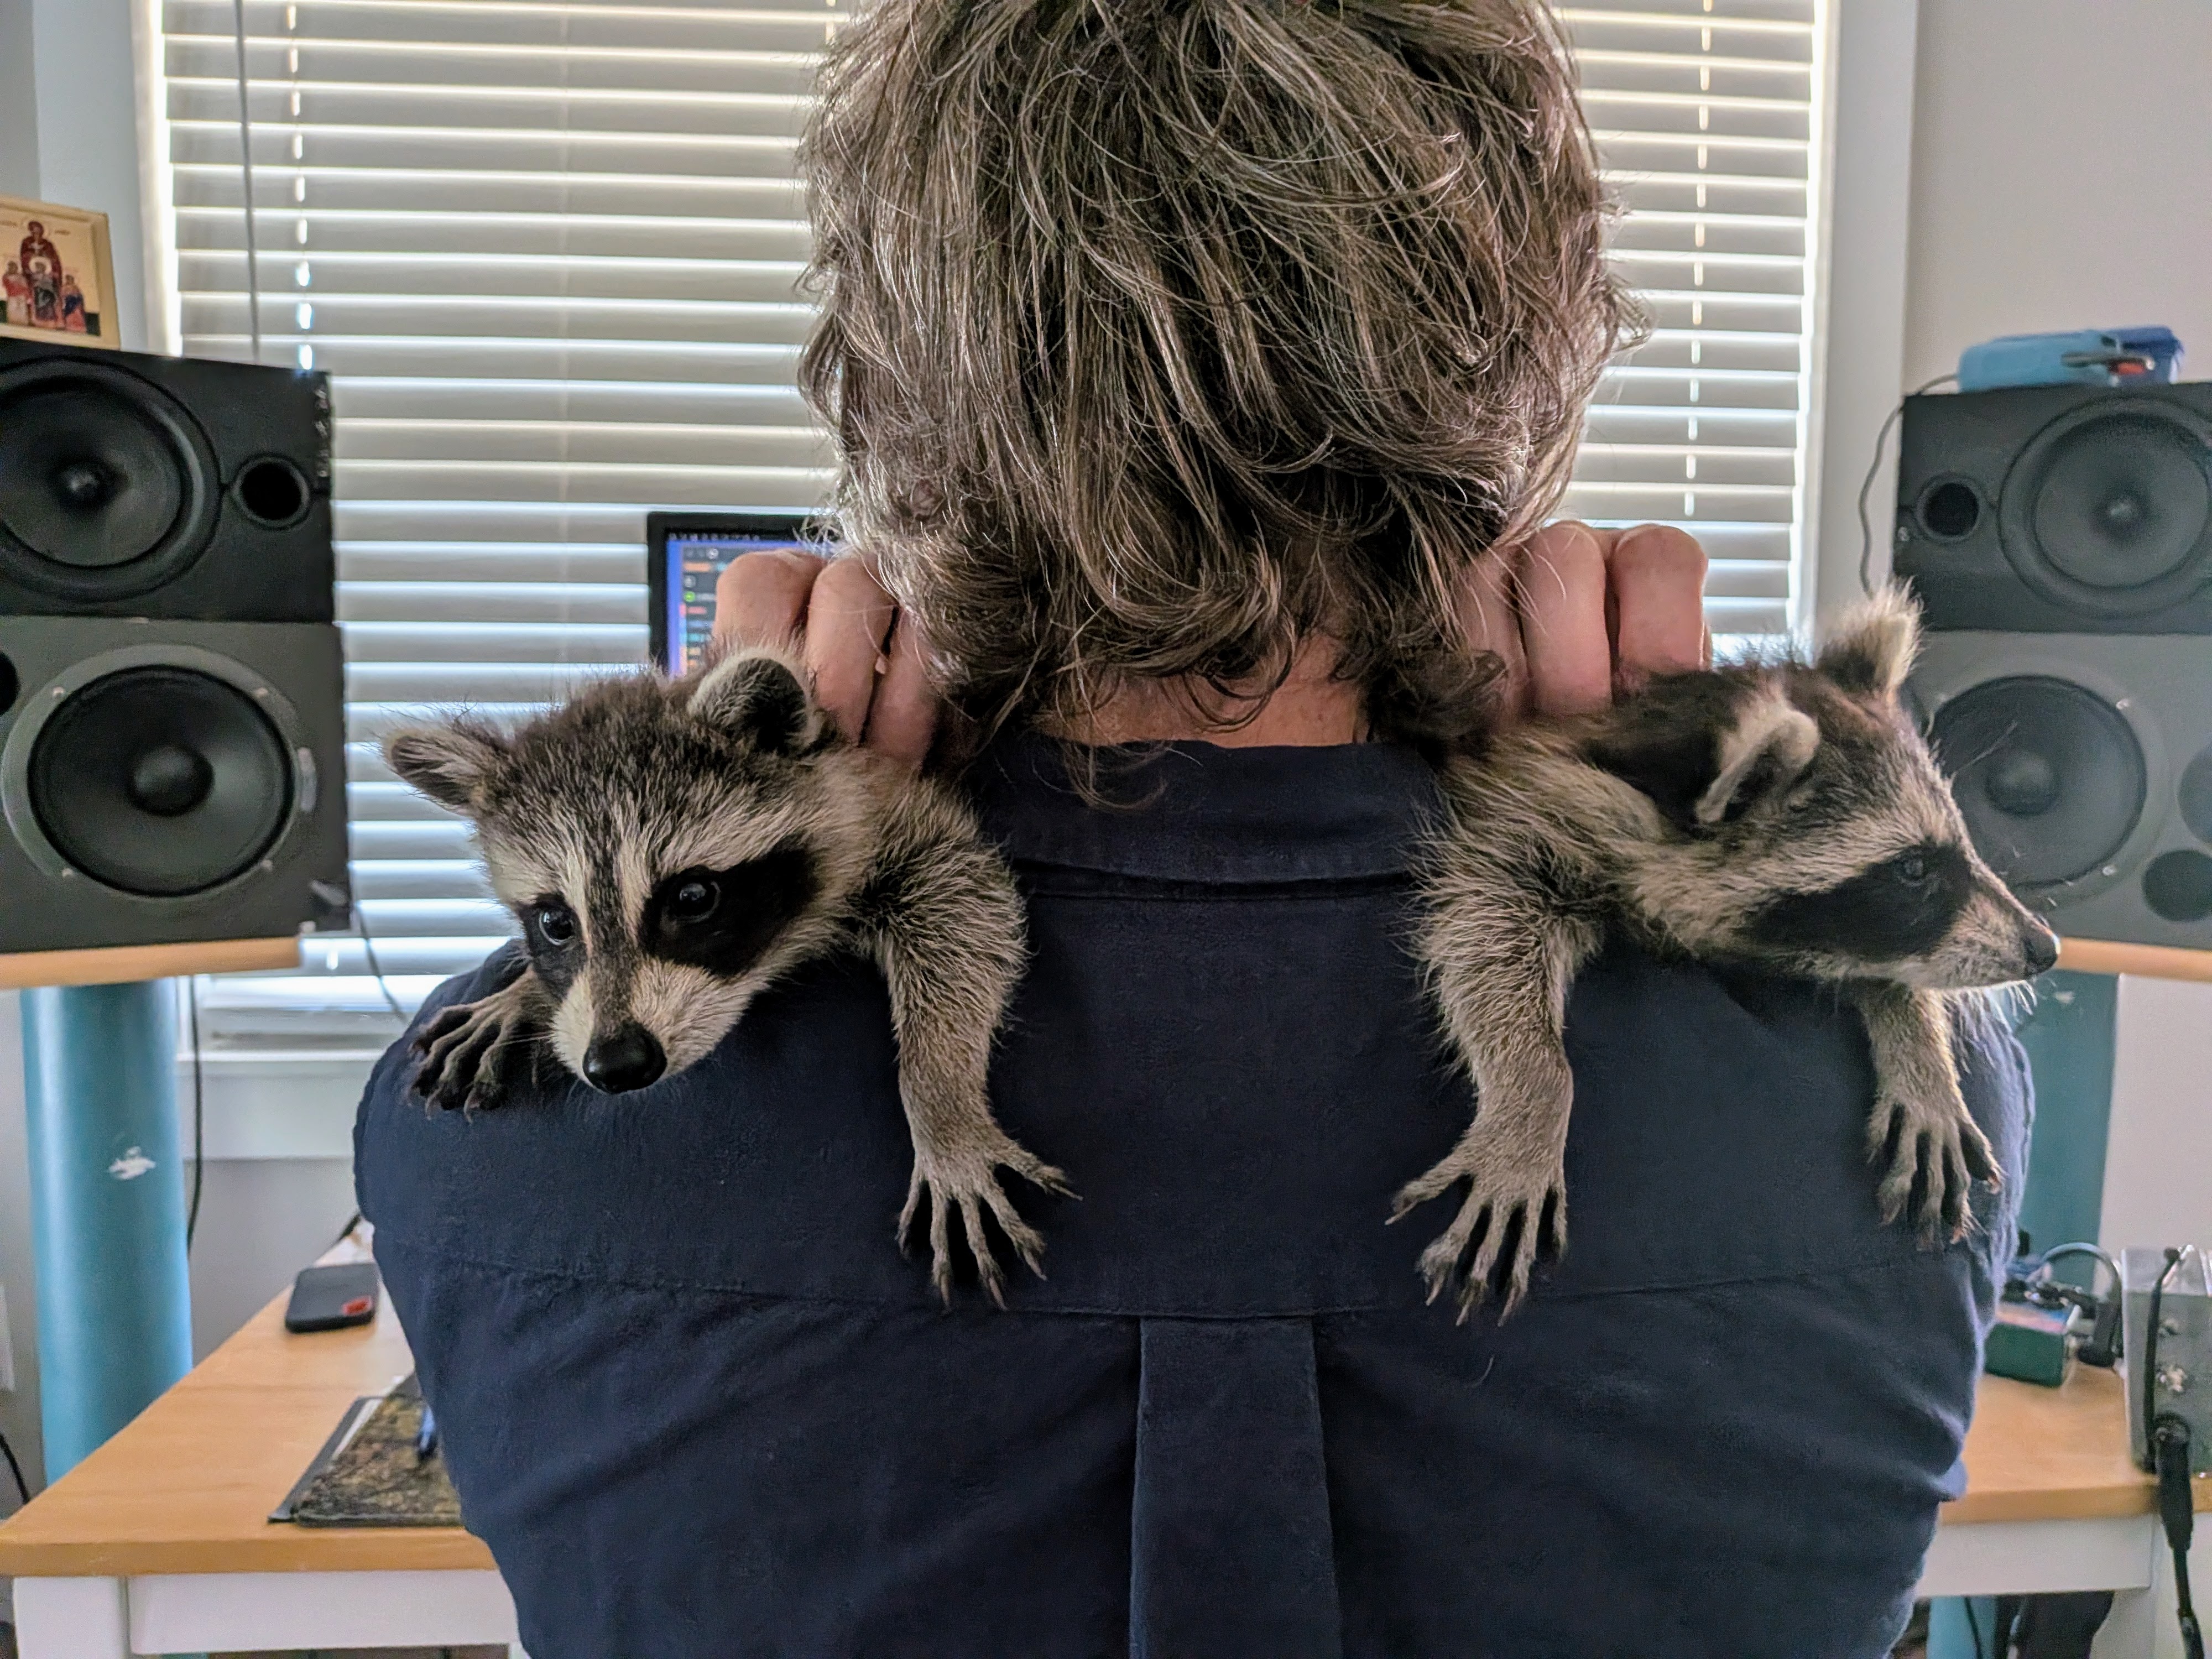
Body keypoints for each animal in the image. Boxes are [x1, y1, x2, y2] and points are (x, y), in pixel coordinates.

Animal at [381, 646, 1071, 1303]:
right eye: (555, 922)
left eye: (692, 898)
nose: (618, 1064)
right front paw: (525, 993)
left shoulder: (896, 818)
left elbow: (963, 904)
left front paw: (940, 1096)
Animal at [1396, 589, 2057, 1318]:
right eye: (1913, 871)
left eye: (1958, 843)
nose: (2043, 948)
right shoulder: (1530, 815)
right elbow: (1483, 924)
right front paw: (1533, 1091)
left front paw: (1915, 1036)